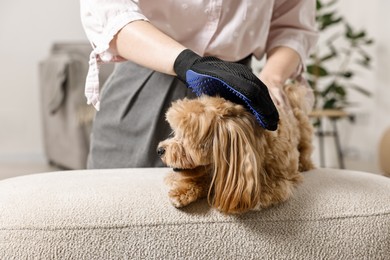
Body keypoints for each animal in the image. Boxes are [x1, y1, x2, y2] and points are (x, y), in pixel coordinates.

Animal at [157, 83, 316, 213]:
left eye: (185, 136)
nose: (159, 150)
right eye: (175, 131)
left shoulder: (280, 179)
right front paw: (181, 192)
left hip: (303, 129)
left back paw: (305, 164)